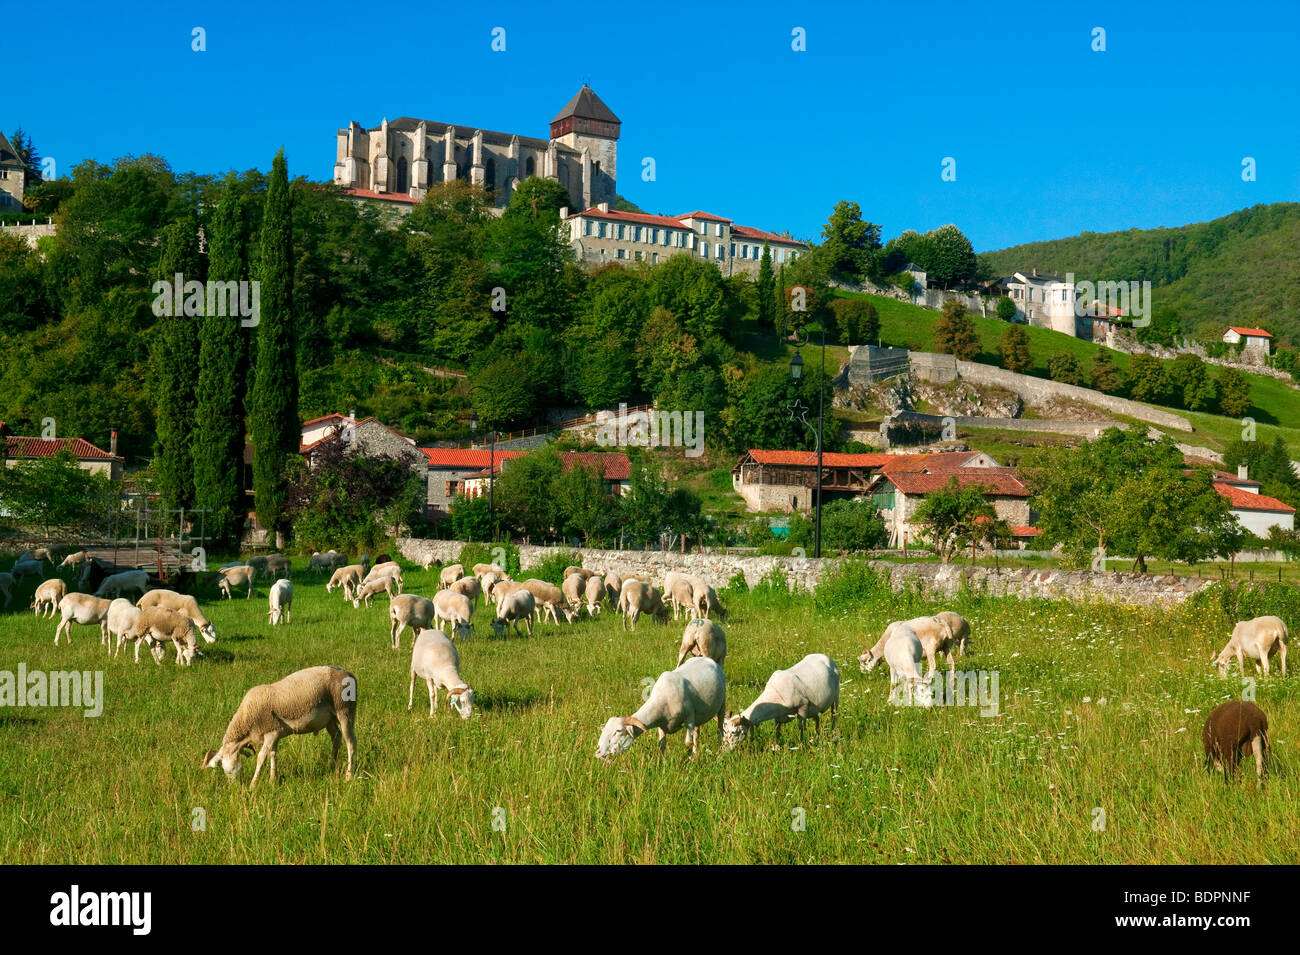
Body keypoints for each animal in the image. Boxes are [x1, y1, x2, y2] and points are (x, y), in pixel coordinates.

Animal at [200, 665, 358, 789]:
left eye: (227, 771)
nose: (234, 787)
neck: (247, 720)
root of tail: (348, 673)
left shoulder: (271, 733)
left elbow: (261, 758)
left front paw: (253, 785)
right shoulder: (275, 734)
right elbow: (273, 755)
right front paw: (272, 780)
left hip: (345, 710)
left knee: (351, 743)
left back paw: (349, 776)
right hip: (329, 719)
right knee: (336, 739)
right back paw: (332, 767)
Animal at [598, 657, 733, 764]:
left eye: (618, 731)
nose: (598, 752)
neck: (663, 698)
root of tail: (708, 659)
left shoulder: (689, 717)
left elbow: (687, 743)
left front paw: (689, 761)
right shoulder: (661, 725)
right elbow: (661, 745)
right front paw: (662, 764)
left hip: (722, 704)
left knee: (719, 730)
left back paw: (719, 752)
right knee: (697, 733)